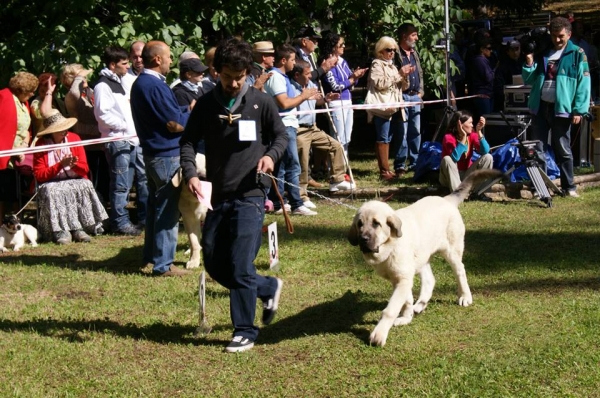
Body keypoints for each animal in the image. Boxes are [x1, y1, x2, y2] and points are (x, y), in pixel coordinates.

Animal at [346, 169, 502, 346]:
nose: (363, 240)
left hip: (452, 251)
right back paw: (420, 304)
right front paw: (406, 318)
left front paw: (379, 334)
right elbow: (406, 300)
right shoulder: (401, 279)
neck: (389, 246)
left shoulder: (403, 279)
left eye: (376, 224)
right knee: (430, 280)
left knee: (460, 271)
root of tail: (446, 199)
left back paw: (465, 296)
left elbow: (390, 309)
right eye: (359, 224)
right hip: (422, 257)